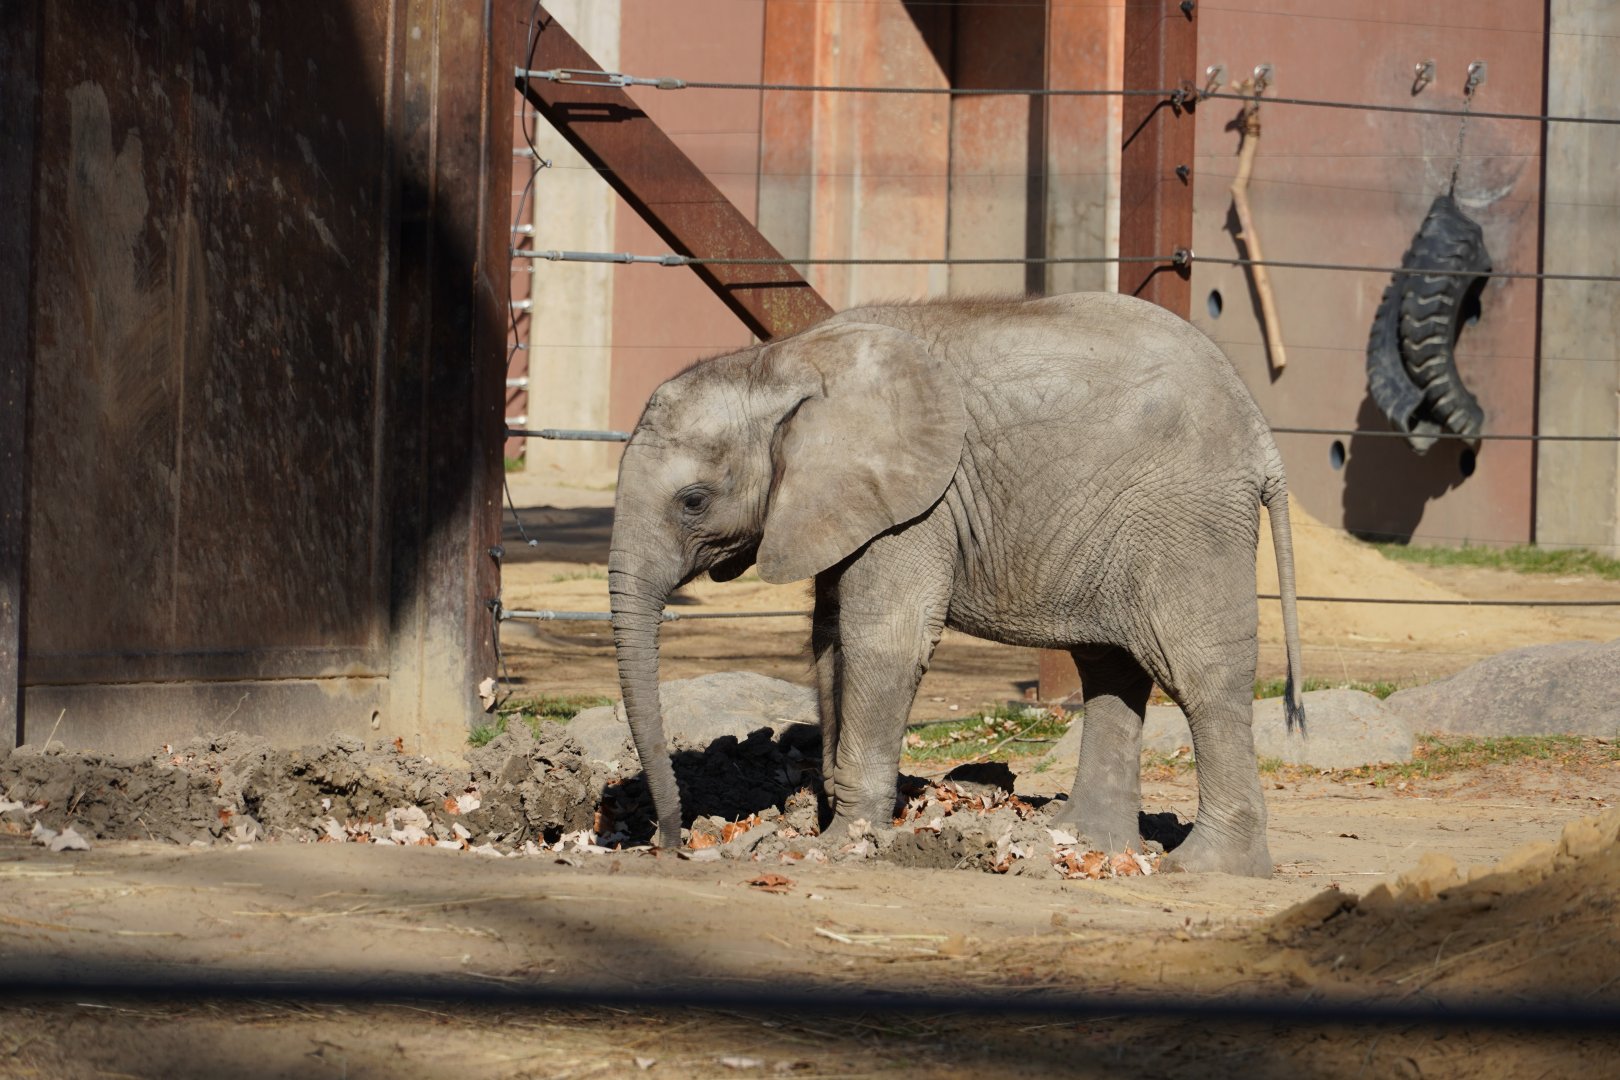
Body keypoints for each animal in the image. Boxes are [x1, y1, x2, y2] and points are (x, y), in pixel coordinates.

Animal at [607, 292, 1305, 877]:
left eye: (694, 501)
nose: (667, 843)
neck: (782, 362)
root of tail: (1263, 436)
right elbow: (829, 640)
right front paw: (827, 825)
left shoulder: (919, 504)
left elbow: (884, 642)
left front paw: (841, 845)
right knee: (1110, 668)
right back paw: (1081, 840)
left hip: (1188, 519)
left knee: (1198, 674)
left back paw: (1206, 867)